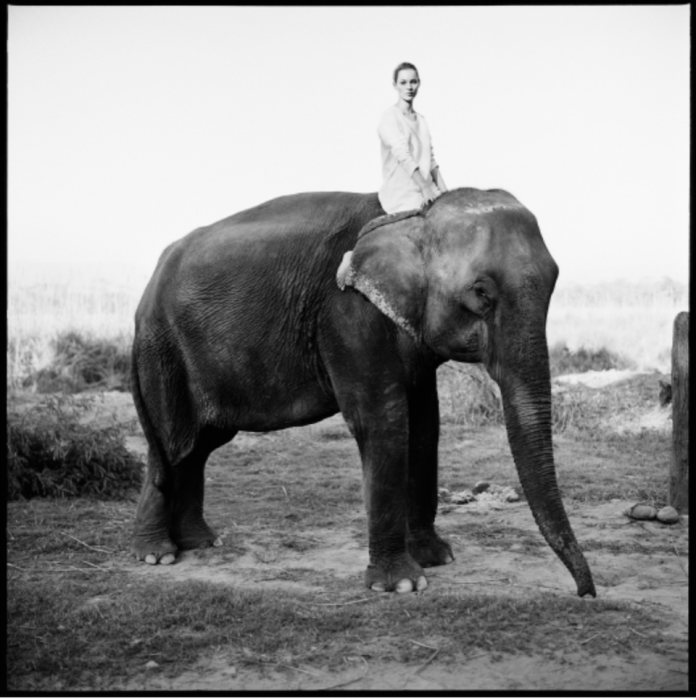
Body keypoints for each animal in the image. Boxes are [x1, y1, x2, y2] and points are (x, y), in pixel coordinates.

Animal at [132, 186, 600, 596]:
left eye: (555, 283)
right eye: (481, 292)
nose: (585, 594)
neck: (415, 214)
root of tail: (145, 292)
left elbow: (425, 426)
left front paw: (436, 558)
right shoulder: (346, 316)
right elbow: (384, 421)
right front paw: (402, 584)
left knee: (198, 446)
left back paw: (201, 543)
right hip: (162, 351)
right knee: (171, 444)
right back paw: (157, 555)